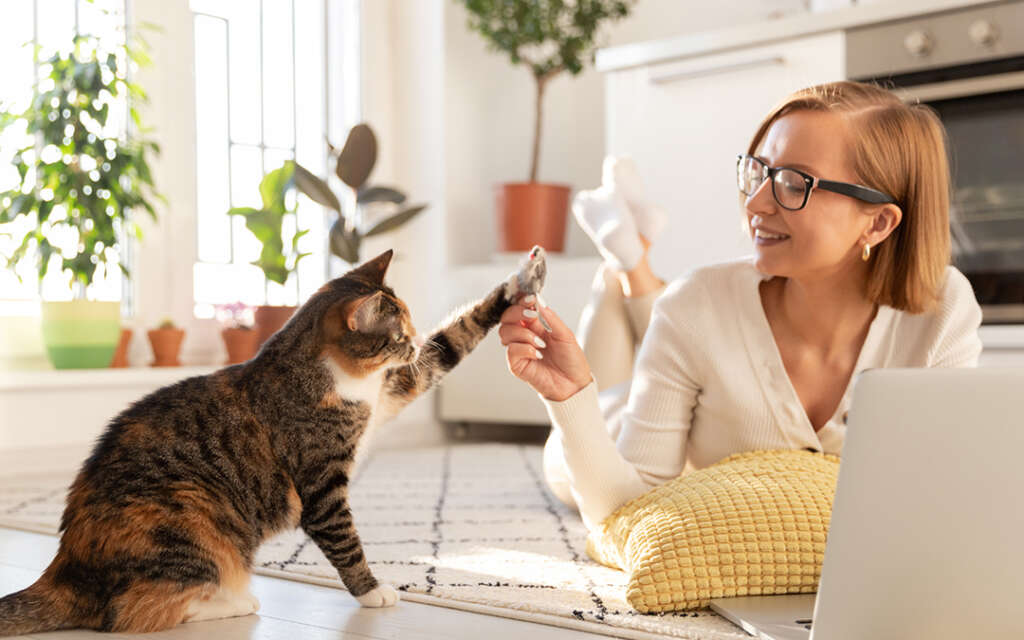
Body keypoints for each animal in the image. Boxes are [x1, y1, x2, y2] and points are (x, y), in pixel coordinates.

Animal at [0, 248, 548, 634]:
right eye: (396, 335)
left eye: (412, 329)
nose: (411, 343)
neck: (340, 379)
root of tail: (64, 568)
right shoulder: (322, 484)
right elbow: (346, 542)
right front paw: (373, 592)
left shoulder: (394, 388)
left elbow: (454, 340)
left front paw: (525, 280)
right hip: (190, 512)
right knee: (127, 615)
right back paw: (234, 601)